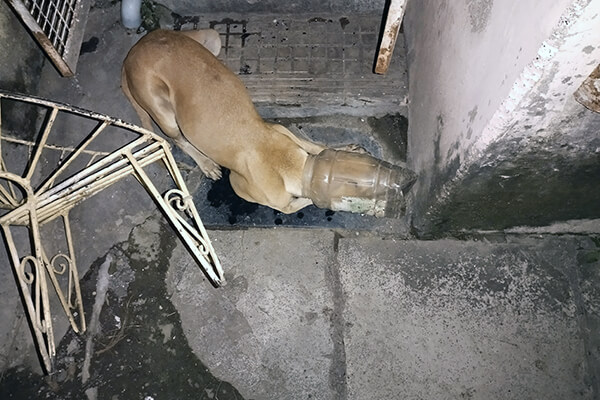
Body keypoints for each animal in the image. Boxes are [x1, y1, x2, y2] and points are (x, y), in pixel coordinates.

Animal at [122, 29, 332, 214]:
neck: (283, 160)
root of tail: (132, 53)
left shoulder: (280, 130)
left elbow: (313, 145)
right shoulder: (243, 187)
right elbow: (294, 205)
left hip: (210, 39)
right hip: (164, 115)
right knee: (178, 139)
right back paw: (206, 164)